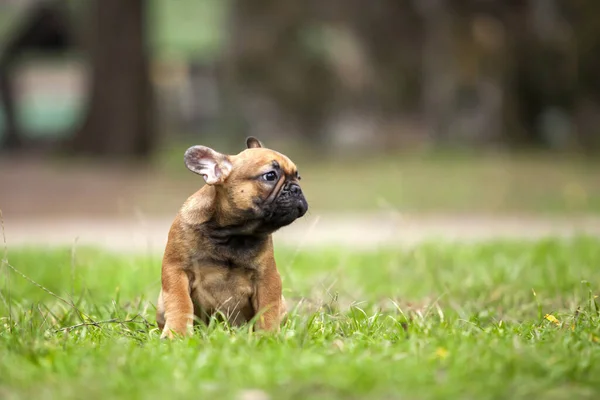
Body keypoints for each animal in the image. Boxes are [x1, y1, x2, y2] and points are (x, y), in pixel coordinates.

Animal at [157, 138, 308, 338]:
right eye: (270, 176)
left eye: (298, 178)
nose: (297, 189)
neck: (232, 233)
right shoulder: (176, 269)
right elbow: (180, 302)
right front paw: (177, 333)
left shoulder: (267, 278)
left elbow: (267, 310)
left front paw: (268, 337)